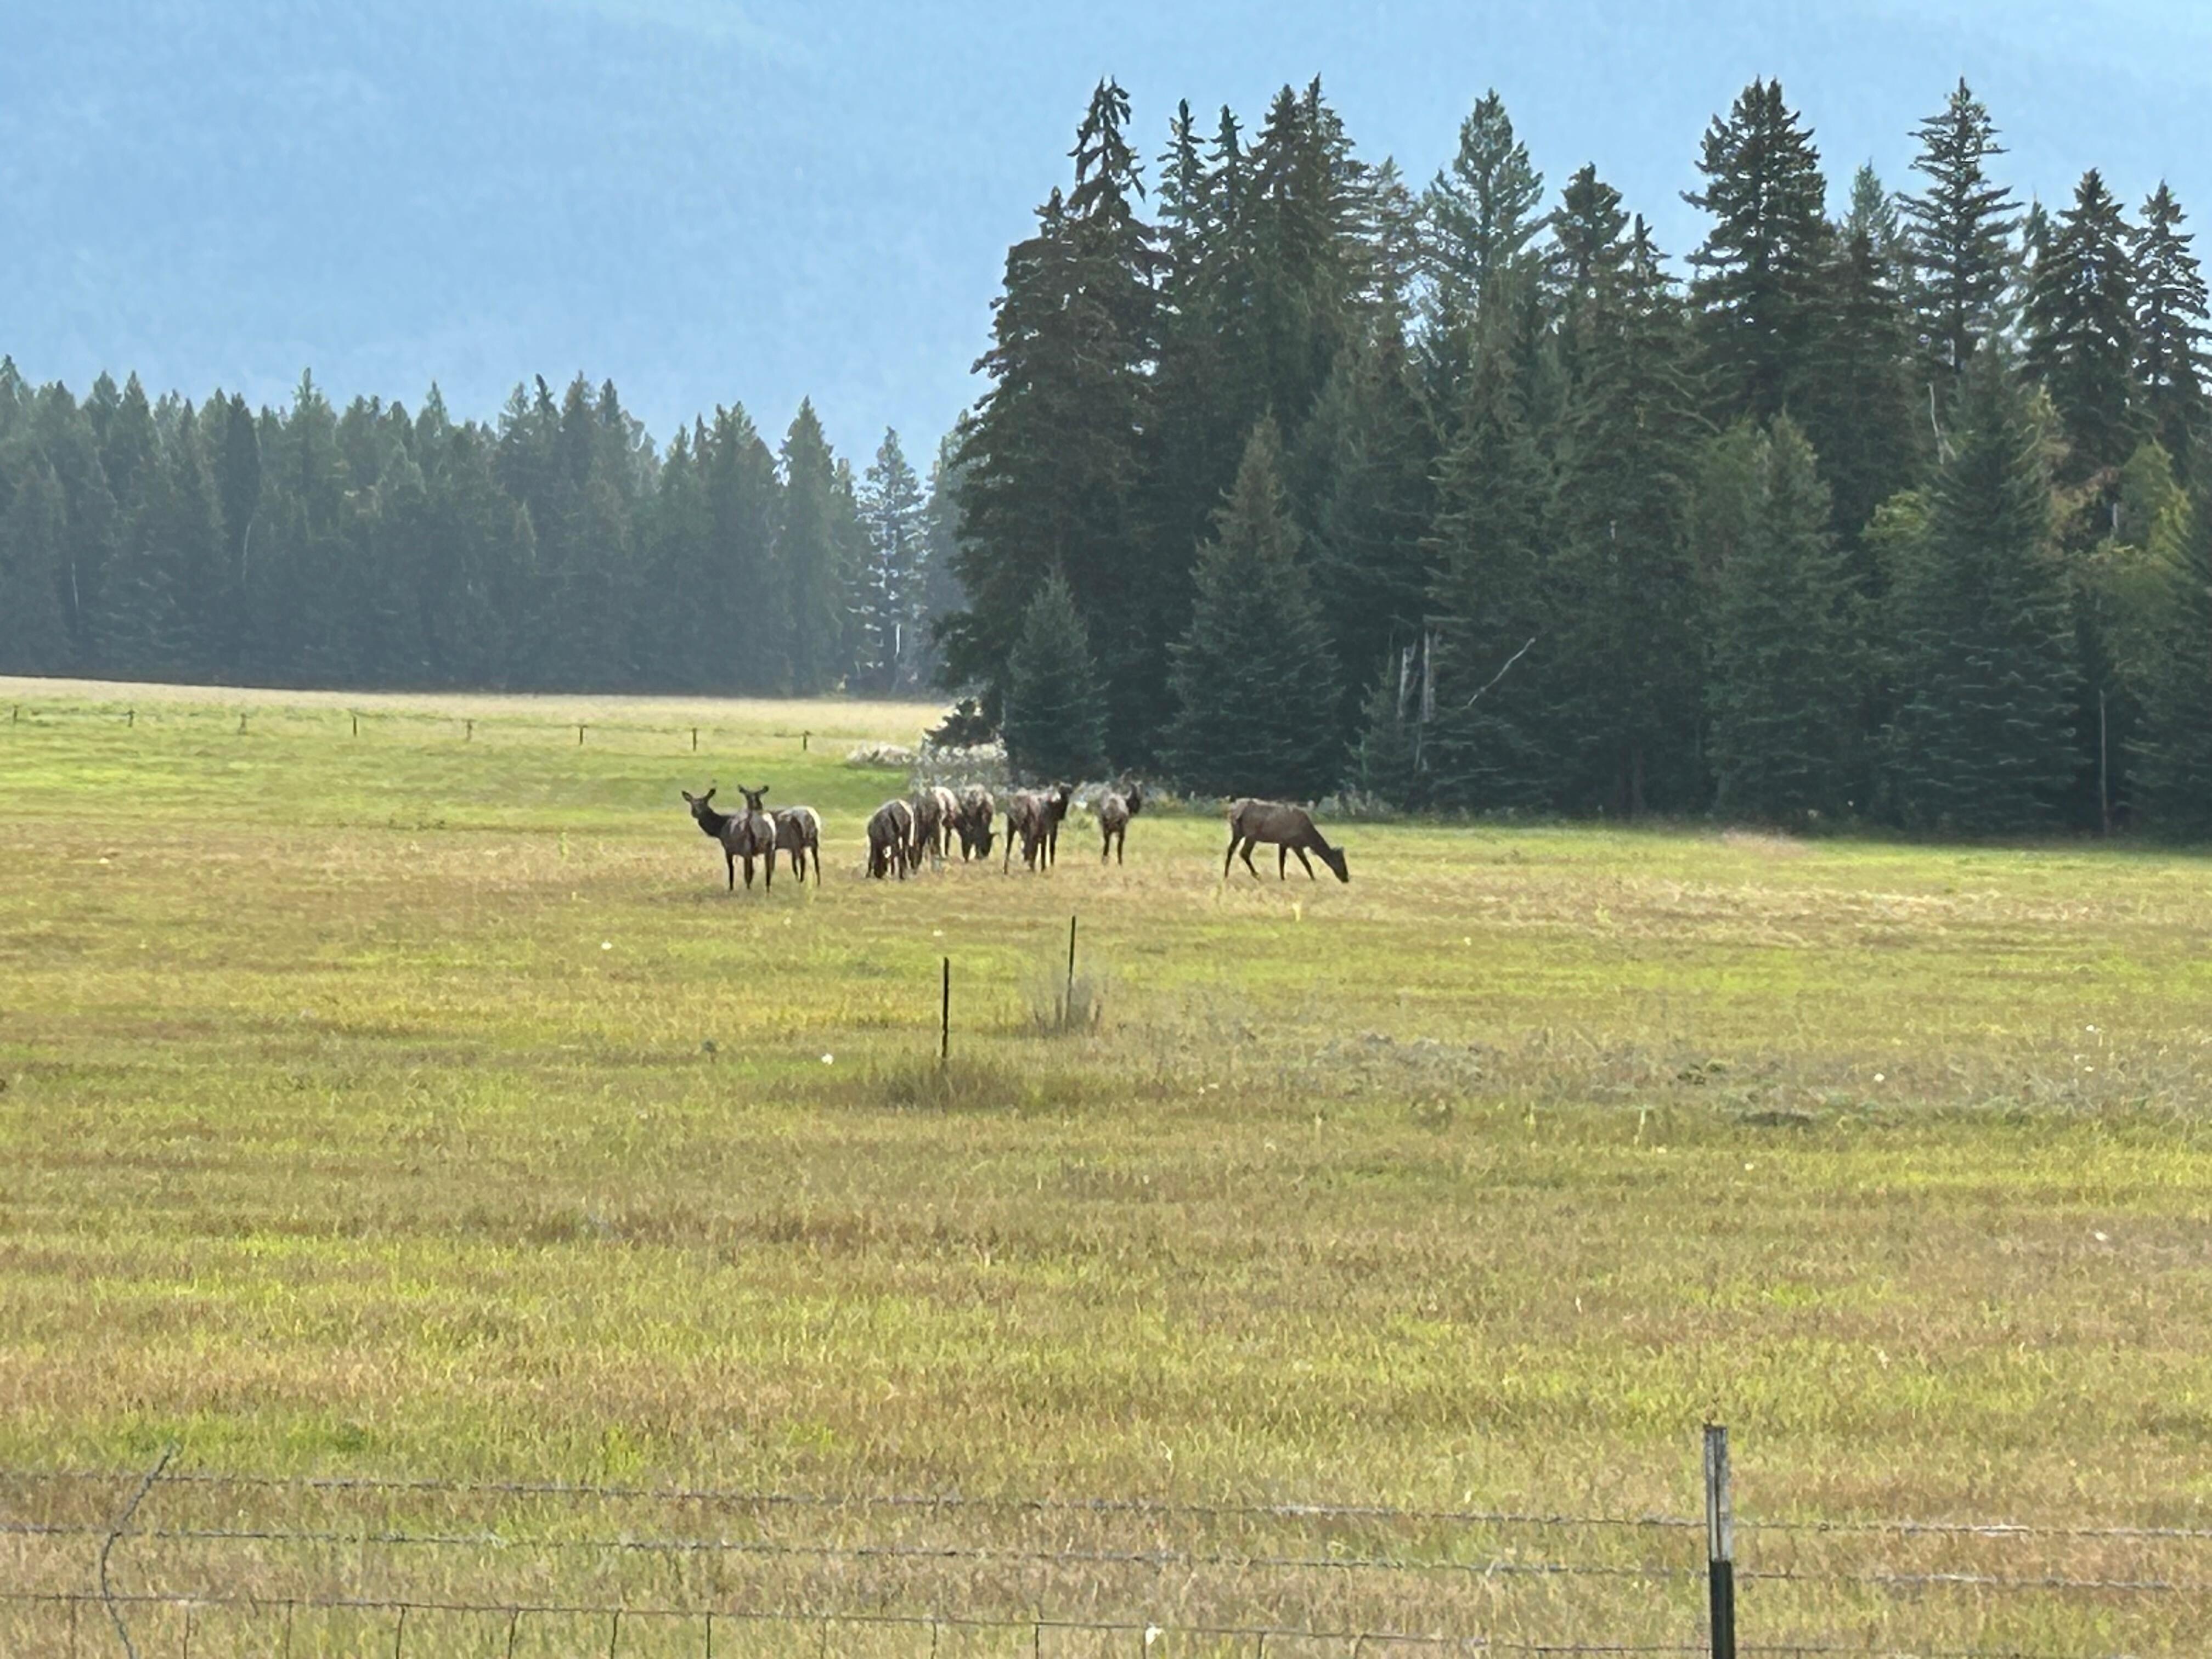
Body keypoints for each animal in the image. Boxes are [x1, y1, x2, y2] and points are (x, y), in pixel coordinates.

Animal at [683, 785, 779, 891]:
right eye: (691, 803)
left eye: (704, 802)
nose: (695, 812)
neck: (719, 829)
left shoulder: (728, 849)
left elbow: (732, 870)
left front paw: (731, 888)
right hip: (770, 847)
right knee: (769, 870)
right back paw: (767, 890)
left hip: (747, 848)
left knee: (749, 873)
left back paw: (749, 890)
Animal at [867, 798, 915, 880]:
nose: (878, 875)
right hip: (901, 837)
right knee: (901, 852)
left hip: (902, 835)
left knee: (901, 851)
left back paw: (902, 873)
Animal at [1097, 782, 1143, 864]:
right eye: (1137, 798)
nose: (1137, 810)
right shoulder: (1121, 830)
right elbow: (1119, 844)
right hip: (1120, 829)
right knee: (1118, 843)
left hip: (1106, 828)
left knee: (1107, 842)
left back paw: (1104, 860)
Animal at [1223, 798, 1349, 884]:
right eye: (1340, 861)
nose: (1346, 878)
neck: (1307, 838)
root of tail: (1233, 812)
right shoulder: (1294, 844)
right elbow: (1306, 864)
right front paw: (1314, 879)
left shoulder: (1283, 843)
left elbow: (1281, 862)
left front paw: (1282, 878)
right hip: (1251, 834)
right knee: (1244, 852)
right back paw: (1256, 875)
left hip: (1238, 832)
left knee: (1231, 849)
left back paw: (1226, 874)